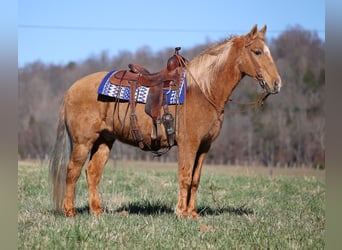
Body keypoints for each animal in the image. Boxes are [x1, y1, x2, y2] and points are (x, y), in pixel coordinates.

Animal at [49, 24, 282, 218]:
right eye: (257, 51)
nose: (277, 84)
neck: (203, 90)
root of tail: (71, 89)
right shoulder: (189, 144)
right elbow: (185, 176)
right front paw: (181, 213)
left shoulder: (204, 146)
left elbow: (195, 179)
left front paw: (193, 213)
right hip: (83, 142)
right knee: (72, 172)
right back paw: (70, 212)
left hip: (104, 141)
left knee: (92, 173)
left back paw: (96, 211)